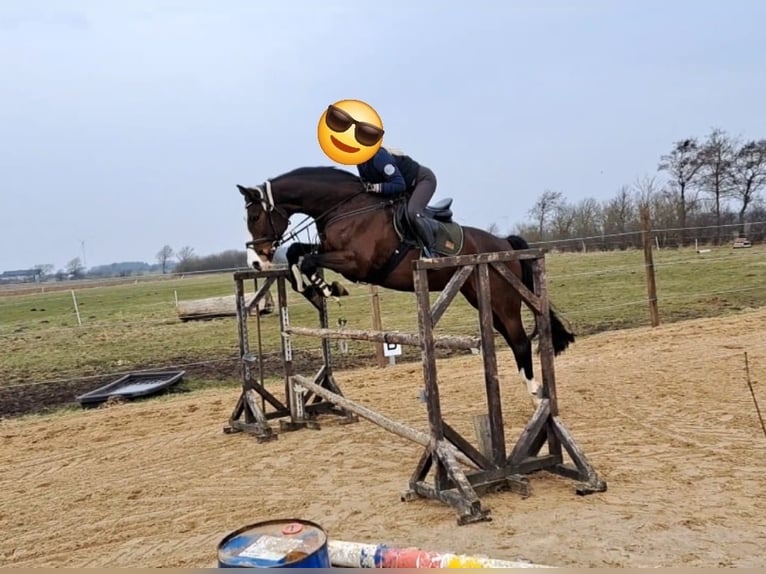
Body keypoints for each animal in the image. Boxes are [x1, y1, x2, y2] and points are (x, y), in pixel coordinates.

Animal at [236, 165, 575, 406]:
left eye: (254, 216)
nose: (255, 263)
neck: (345, 208)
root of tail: (504, 242)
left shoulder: (357, 263)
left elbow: (306, 260)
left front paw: (328, 288)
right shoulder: (330, 251)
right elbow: (297, 253)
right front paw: (313, 287)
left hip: (503, 300)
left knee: (520, 341)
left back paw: (537, 397)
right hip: (482, 298)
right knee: (513, 338)